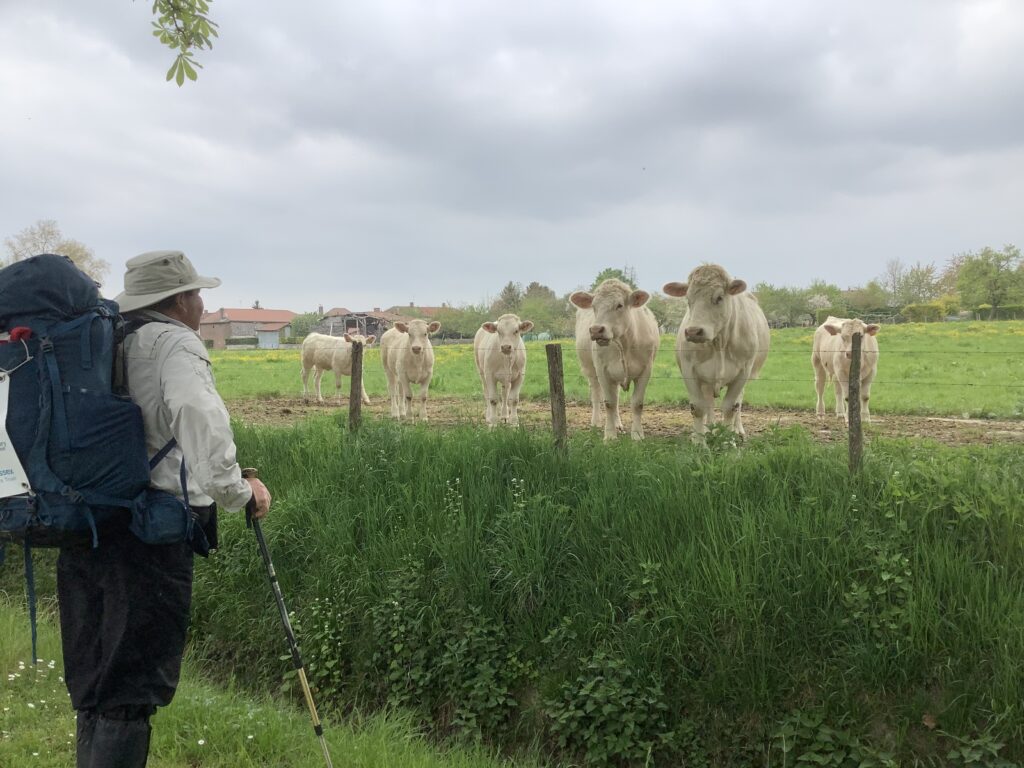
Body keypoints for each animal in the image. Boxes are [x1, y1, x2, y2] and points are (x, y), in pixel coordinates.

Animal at [570, 279, 660, 441]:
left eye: (619, 305)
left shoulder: (646, 370)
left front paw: (637, 434)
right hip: (590, 369)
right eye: (594, 306)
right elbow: (609, 403)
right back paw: (596, 422)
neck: (624, 343)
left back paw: (618, 424)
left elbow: (637, 403)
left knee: (616, 395)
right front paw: (610, 435)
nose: (596, 330)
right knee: (596, 394)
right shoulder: (602, 370)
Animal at [663, 264, 770, 443]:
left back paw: (737, 430)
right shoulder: (689, 370)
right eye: (688, 299)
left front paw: (728, 441)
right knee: (709, 404)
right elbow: (698, 407)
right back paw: (708, 430)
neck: (719, 343)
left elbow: (730, 407)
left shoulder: (743, 371)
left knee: (738, 403)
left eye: (719, 297)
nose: (693, 331)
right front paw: (699, 441)